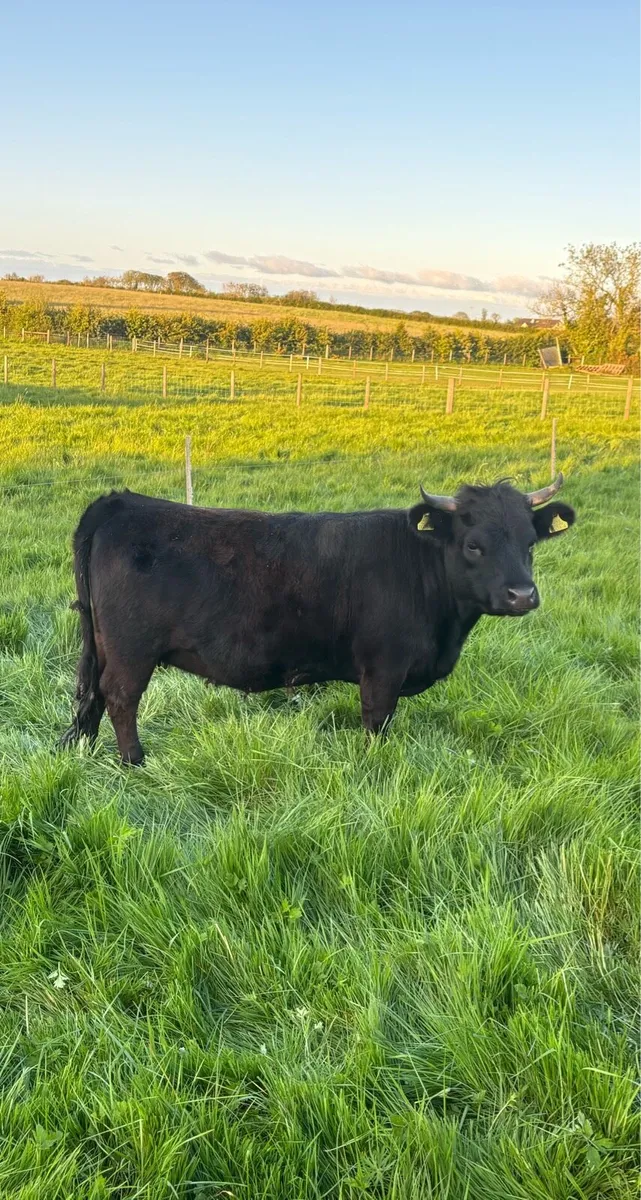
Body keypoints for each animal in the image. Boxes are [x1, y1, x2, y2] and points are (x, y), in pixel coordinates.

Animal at [61, 475, 575, 764]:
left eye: (530, 542)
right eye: (473, 545)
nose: (522, 595)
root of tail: (119, 502)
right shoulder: (383, 669)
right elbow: (377, 724)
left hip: (103, 644)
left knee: (93, 697)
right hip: (132, 650)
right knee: (120, 698)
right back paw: (134, 761)